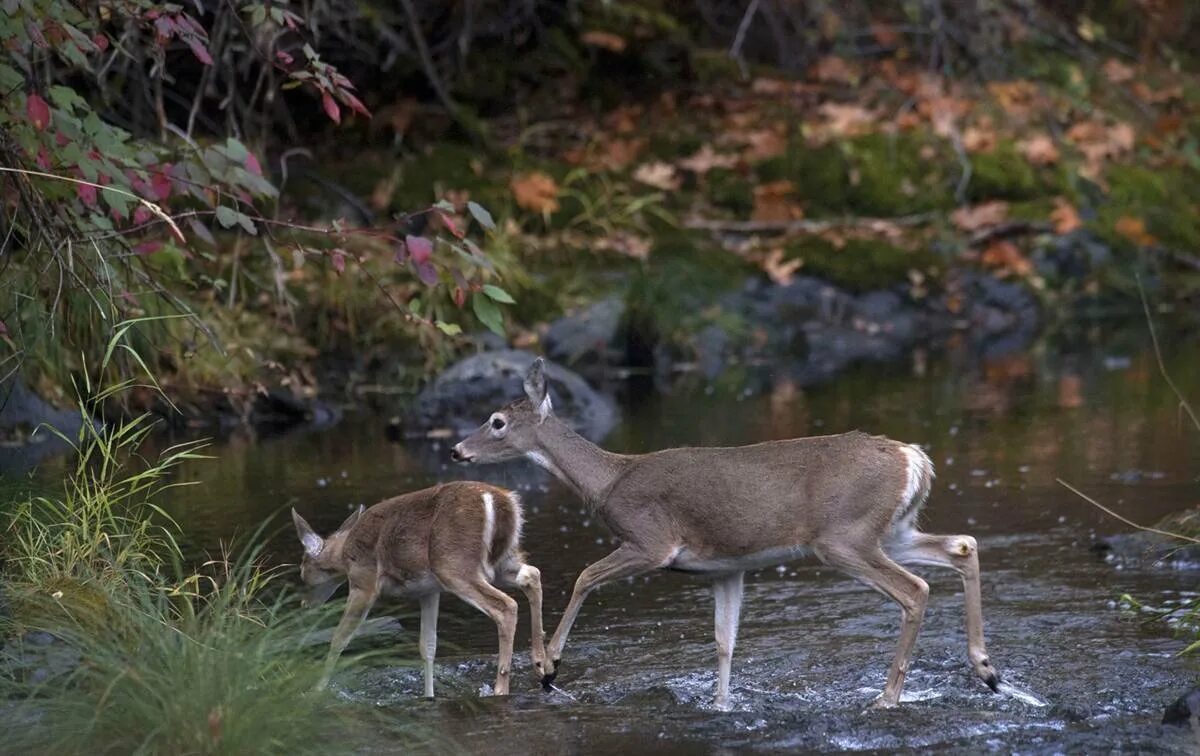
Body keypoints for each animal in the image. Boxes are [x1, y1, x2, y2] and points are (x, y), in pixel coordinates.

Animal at [295, 482, 549, 700]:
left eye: (302, 569)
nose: (305, 604)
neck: (344, 553)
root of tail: (500, 500)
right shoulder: (429, 591)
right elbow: (427, 646)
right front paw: (429, 696)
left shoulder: (363, 581)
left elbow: (340, 637)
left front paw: (317, 690)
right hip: (501, 562)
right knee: (532, 574)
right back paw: (543, 665)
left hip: (454, 564)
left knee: (506, 606)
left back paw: (501, 689)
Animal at [451, 360, 993, 710]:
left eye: (497, 421)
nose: (457, 450)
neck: (609, 481)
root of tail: (913, 458)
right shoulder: (725, 570)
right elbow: (724, 641)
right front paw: (721, 704)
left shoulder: (652, 540)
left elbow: (585, 575)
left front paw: (549, 667)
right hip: (889, 529)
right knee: (963, 546)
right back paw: (987, 670)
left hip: (844, 537)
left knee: (915, 589)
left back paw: (888, 697)